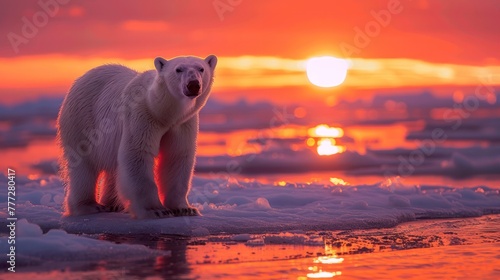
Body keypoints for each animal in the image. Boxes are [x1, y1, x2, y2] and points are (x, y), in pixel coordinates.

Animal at [56, 53, 217, 218]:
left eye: (201, 68)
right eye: (178, 69)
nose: (193, 84)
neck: (163, 113)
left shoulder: (182, 124)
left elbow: (177, 156)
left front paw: (184, 208)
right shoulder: (142, 115)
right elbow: (138, 153)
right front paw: (156, 210)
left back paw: (113, 204)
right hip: (81, 120)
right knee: (84, 164)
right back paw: (88, 206)